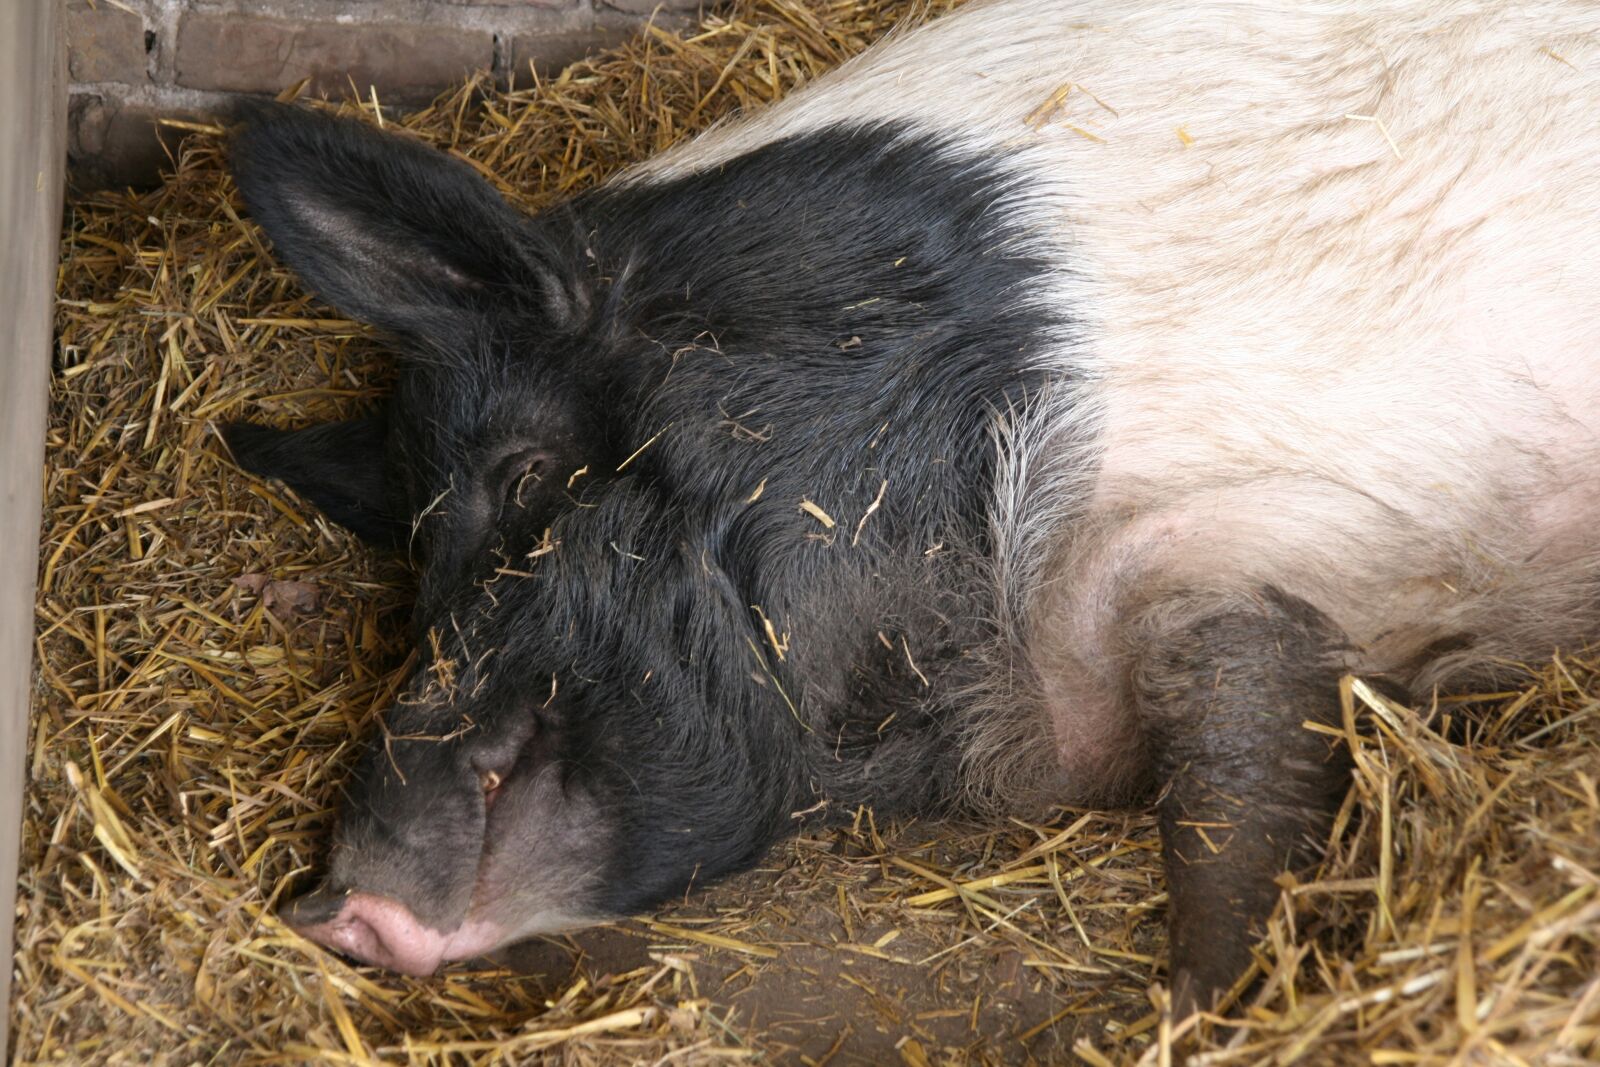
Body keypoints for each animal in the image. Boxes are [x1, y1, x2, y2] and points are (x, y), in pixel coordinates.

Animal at [222, 0, 1600, 1016]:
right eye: (409, 564)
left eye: (518, 476)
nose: (333, 908)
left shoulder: (1255, 542)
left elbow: (1233, 793)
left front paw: (1189, 1014)